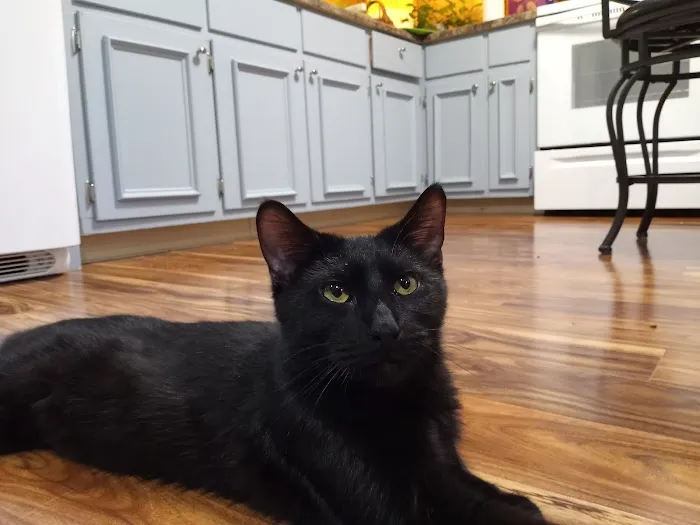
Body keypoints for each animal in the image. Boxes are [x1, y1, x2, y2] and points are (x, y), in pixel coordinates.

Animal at [0, 184, 549, 525]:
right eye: (335, 293)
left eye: (406, 285)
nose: (386, 329)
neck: (398, 402)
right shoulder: (385, 504)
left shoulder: (441, 467)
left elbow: (500, 500)